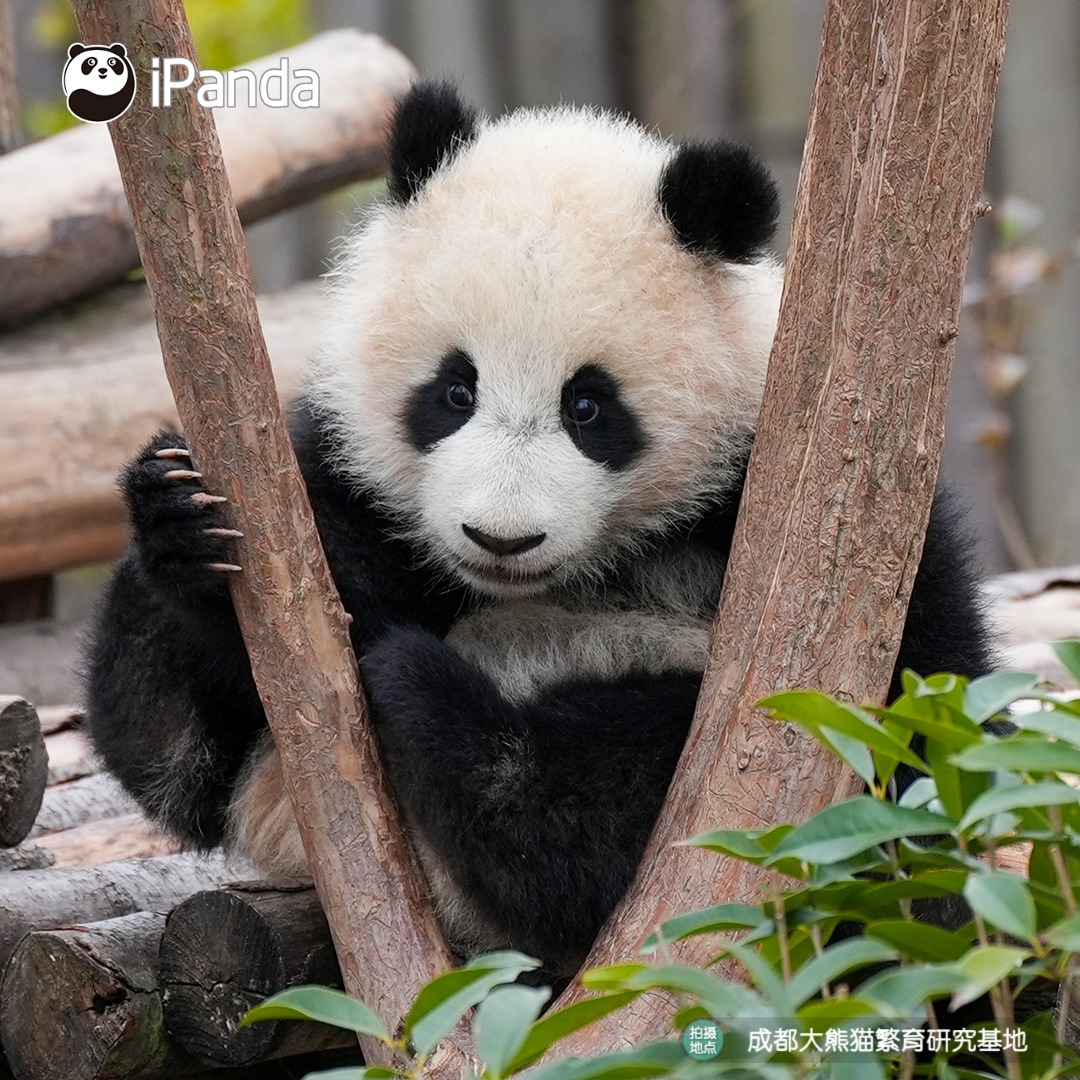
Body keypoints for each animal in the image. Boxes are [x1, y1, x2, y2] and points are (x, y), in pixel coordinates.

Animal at [84, 81, 992, 980]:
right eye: (454, 391)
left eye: (587, 407)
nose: (501, 539)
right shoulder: (343, 483)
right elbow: (180, 761)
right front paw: (179, 518)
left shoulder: (825, 511)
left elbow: (904, 736)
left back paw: (446, 714)